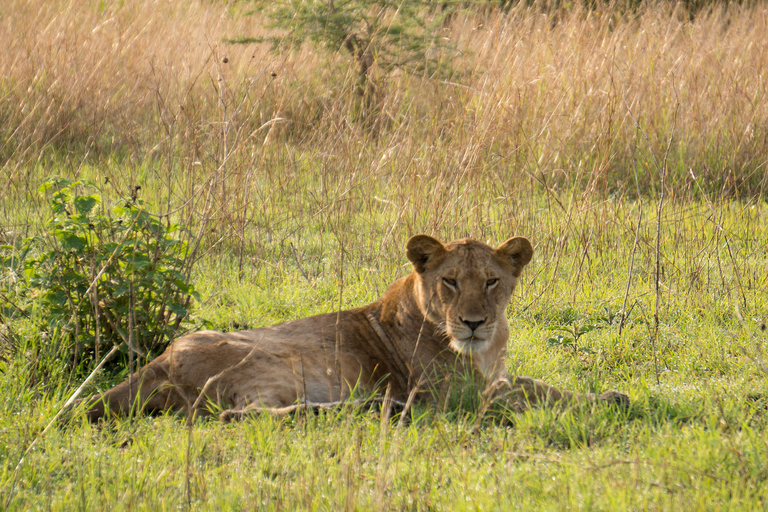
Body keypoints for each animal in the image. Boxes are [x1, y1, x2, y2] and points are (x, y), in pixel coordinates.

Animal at [84, 234, 628, 422]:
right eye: (450, 281)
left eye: (492, 282)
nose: (473, 322)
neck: (485, 348)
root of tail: (160, 358)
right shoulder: (454, 396)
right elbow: (524, 393)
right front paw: (605, 401)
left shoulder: (490, 376)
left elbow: (530, 382)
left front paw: (611, 396)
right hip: (279, 362)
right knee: (245, 415)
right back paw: (374, 408)